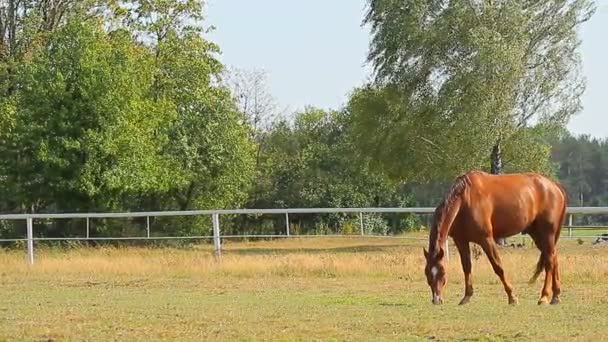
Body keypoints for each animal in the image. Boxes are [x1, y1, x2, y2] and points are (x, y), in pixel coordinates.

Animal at [426, 170, 568, 306]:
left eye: (442, 273)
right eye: (427, 273)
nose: (436, 299)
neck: (465, 199)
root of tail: (555, 186)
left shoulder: (486, 240)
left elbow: (498, 267)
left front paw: (512, 297)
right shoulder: (461, 241)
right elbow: (467, 267)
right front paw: (466, 297)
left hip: (547, 234)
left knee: (549, 262)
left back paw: (544, 297)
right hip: (538, 236)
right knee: (553, 257)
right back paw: (556, 296)